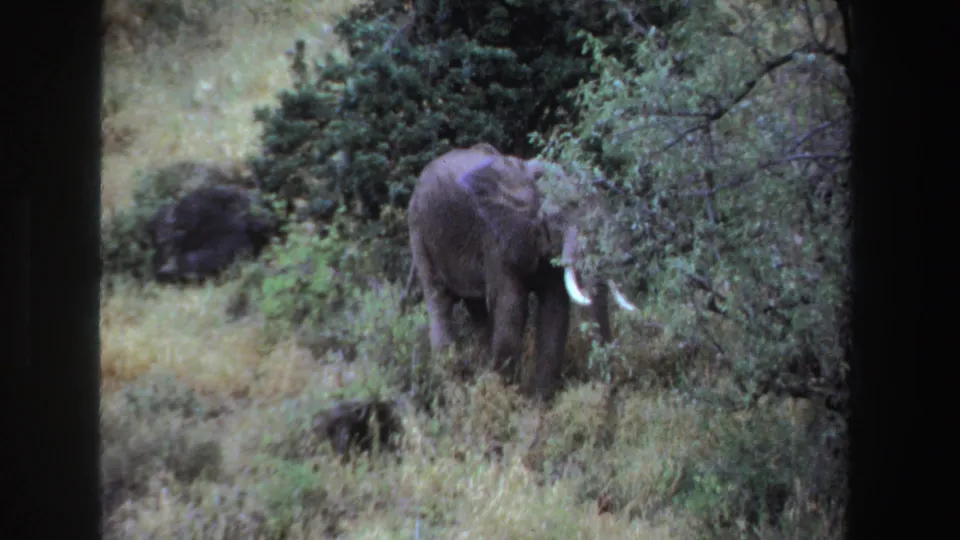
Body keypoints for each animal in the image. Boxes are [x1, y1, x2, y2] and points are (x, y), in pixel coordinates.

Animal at [406, 143, 638, 400]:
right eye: (560, 217)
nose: (609, 391)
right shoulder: (495, 237)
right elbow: (511, 306)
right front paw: (506, 398)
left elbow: (555, 310)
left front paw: (539, 404)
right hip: (419, 231)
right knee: (439, 301)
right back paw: (452, 386)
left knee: (477, 310)